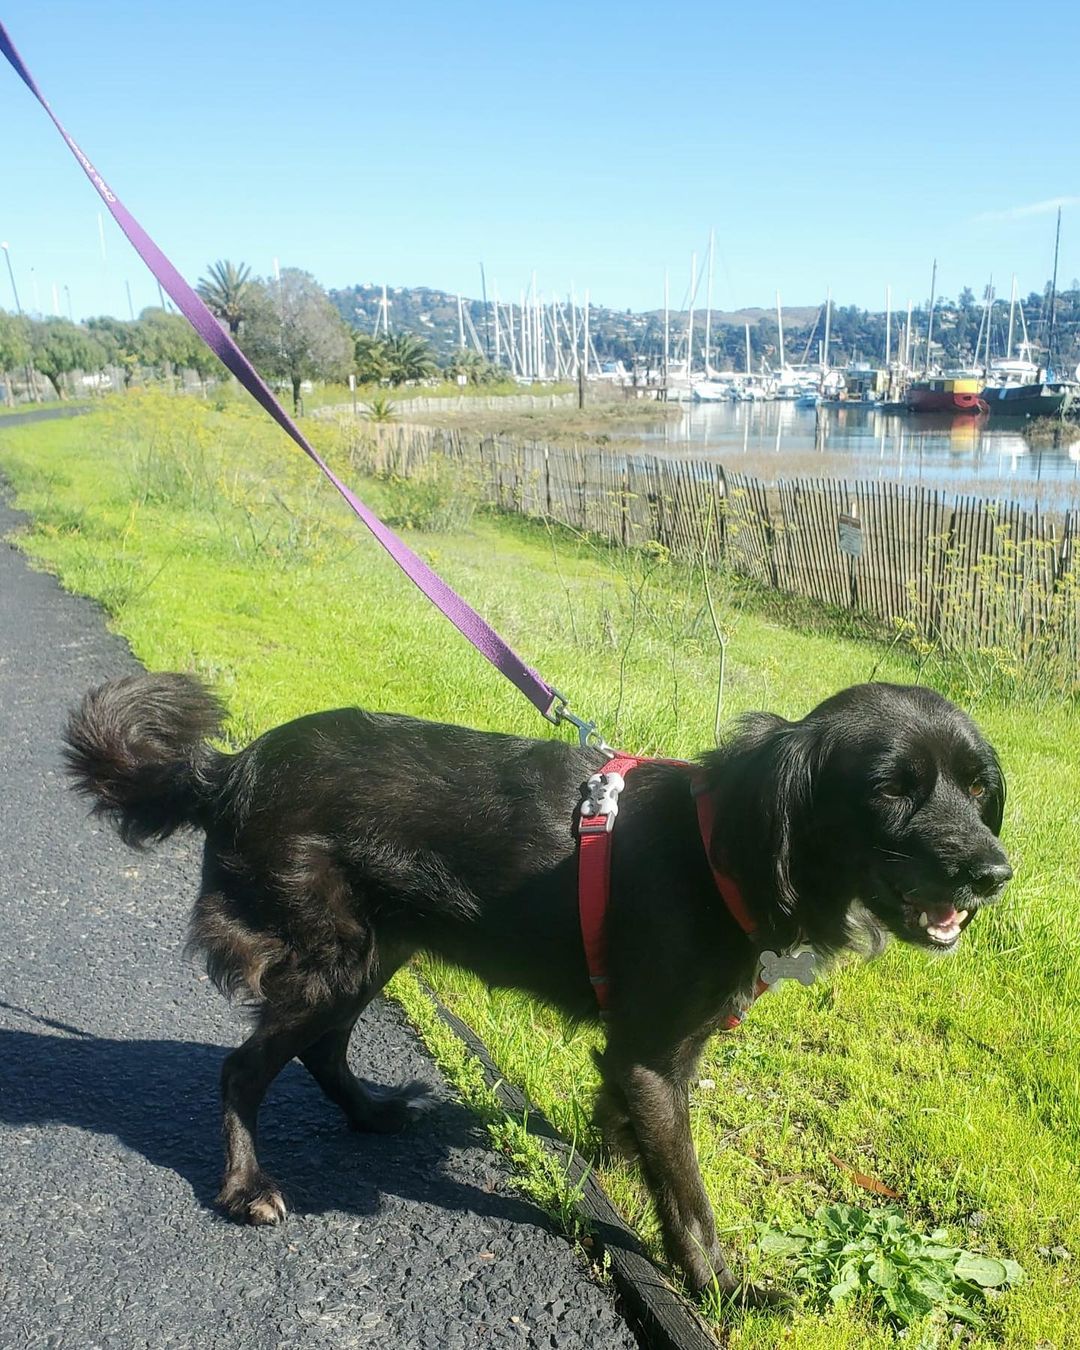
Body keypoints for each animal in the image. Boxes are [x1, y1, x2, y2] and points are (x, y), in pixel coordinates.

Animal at [63, 680, 1009, 1301]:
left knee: (323, 1052)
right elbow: (689, 1196)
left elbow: (632, 1136)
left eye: (976, 787)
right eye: (889, 791)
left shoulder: (647, 1057)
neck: (727, 843)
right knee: (243, 1069)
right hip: (329, 958)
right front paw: (722, 1292)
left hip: (373, 953)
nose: (995, 874)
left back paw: (370, 1113)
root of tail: (232, 769)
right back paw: (246, 1186)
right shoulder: (654, 1057)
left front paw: (616, 1165)